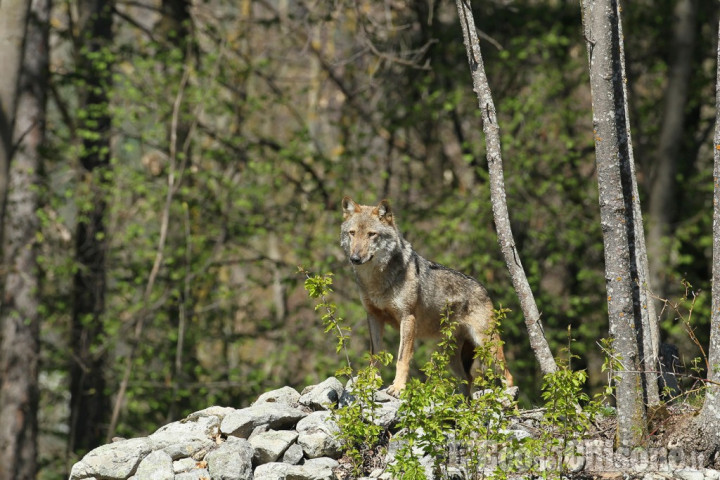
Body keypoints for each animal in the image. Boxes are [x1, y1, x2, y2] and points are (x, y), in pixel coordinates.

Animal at [338, 196, 512, 398]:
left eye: (371, 234)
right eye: (352, 233)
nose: (355, 258)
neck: (376, 281)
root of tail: (483, 287)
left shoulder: (408, 318)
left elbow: (402, 358)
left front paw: (398, 387)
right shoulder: (373, 317)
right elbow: (375, 355)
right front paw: (372, 382)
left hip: (486, 346)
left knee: (507, 376)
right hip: (450, 355)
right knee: (467, 379)